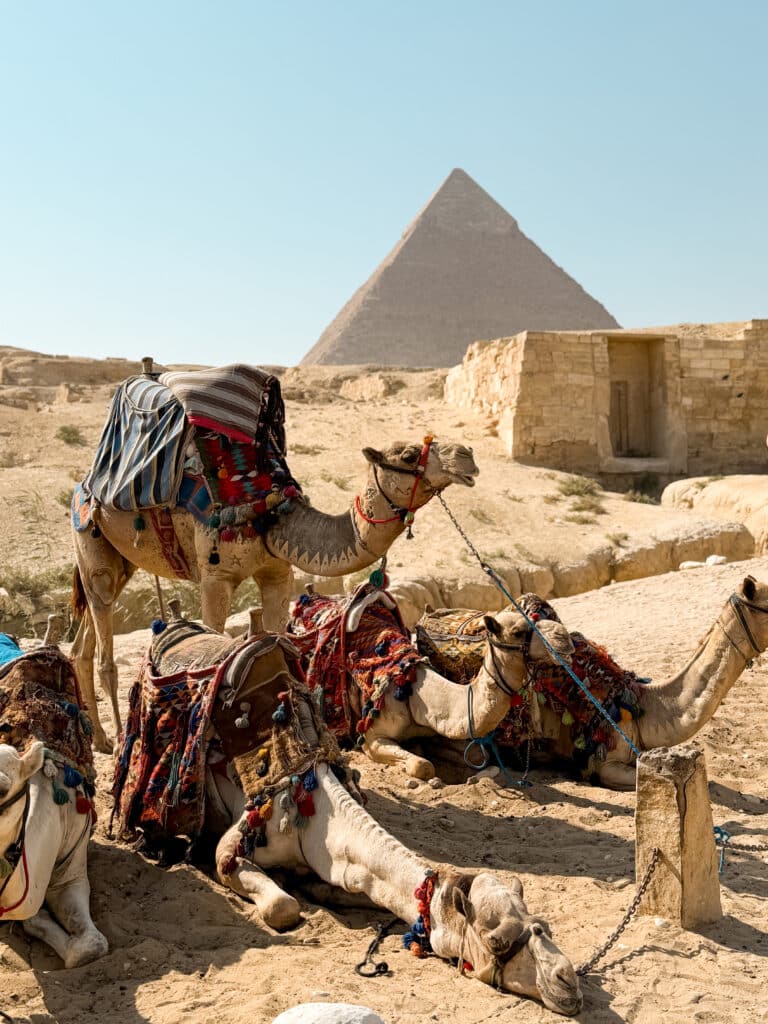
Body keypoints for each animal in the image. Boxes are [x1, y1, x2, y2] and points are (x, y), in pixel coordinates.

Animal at [71, 438, 478, 753]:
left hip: (122, 561)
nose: (466, 456)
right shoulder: (215, 577)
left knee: (83, 642)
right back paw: (118, 739)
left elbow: (285, 640)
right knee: (103, 634)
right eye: (408, 455)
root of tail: (85, 484)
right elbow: (212, 640)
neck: (271, 517)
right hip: (91, 543)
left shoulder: (278, 573)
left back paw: (99, 739)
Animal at [120, 623, 581, 1016]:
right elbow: (281, 905)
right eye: (496, 941)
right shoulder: (239, 840)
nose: (567, 980)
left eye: (542, 923)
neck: (315, 810)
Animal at [289, 590, 575, 779]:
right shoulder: (373, 736)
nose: (563, 639)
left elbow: (473, 755)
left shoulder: (438, 728)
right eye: (518, 631)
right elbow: (422, 766)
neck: (413, 695)